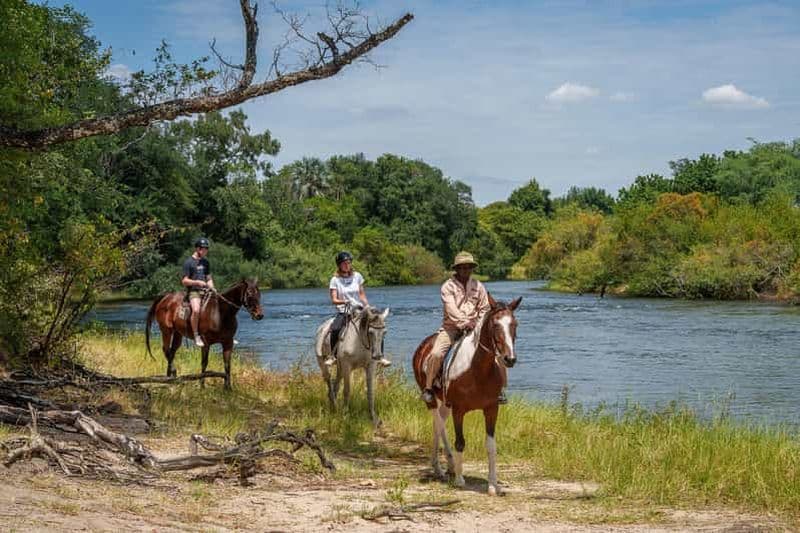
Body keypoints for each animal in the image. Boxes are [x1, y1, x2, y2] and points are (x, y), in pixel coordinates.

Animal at [412, 293, 521, 496]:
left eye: (514, 324)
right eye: (495, 325)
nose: (509, 359)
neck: (478, 370)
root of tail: (424, 346)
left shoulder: (491, 408)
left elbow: (491, 446)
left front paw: (493, 485)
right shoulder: (459, 410)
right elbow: (460, 442)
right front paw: (460, 480)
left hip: (445, 404)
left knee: (437, 425)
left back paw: (443, 467)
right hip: (432, 401)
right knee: (439, 425)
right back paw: (445, 467)